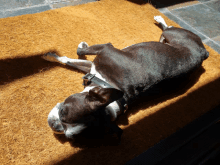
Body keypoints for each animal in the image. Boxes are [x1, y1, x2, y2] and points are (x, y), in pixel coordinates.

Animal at [43, 16, 210, 141]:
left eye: (63, 112)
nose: (55, 126)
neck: (108, 84)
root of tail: (204, 52)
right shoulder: (94, 65)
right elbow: (70, 60)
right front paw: (50, 57)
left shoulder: (105, 48)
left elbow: (79, 51)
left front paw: (50, 55)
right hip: (165, 40)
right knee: (164, 33)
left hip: (174, 34)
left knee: (168, 27)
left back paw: (160, 19)